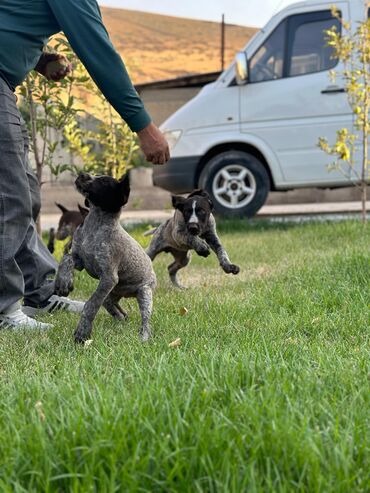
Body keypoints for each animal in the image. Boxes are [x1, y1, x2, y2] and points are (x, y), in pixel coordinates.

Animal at [55, 173, 157, 342]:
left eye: (103, 181)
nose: (82, 174)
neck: (94, 226)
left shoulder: (109, 277)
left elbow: (91, 305)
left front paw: (82, 333)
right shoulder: (80, 260)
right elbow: (66, 259)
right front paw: (63, 282)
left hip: (144, 292)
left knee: (145, 319)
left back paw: (144, 337)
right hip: (111, 294)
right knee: (113, 307)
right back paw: (121, 317)